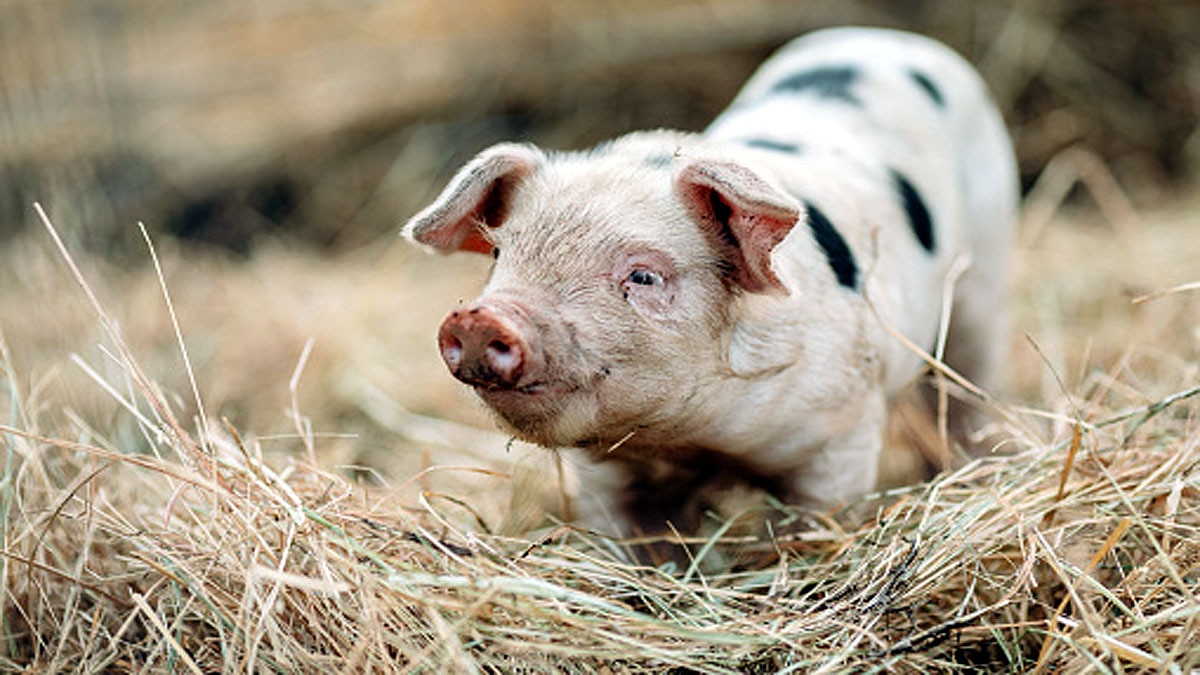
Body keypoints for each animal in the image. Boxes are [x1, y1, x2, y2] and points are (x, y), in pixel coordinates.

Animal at [402, 27, 1018, 550]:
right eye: (500, 255)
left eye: (644, 275)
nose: (480, 318)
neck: (691, 439)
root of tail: (887, 39)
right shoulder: (608, 472)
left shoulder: (840, 435)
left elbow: (814, 525)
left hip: (984, 278)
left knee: (965, 388)